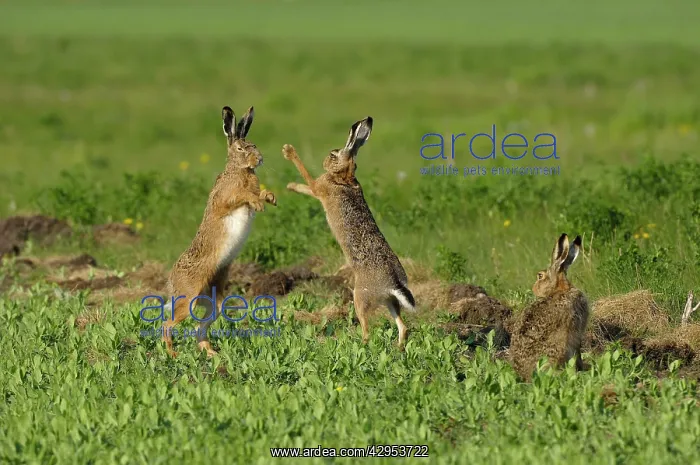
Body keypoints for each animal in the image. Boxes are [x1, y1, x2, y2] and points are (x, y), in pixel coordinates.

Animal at [160, 105, 276, 358]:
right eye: (241, 148)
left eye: (254, 145)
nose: (259, 159)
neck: (240, 170)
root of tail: (171, 281)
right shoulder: (225, 199)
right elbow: (242, 196)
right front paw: (258, 202)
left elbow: (260, 193)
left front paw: (270, 198)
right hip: (189, 298)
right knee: (167, 323)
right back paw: (173, 354)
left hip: (215, 302)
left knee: (200, 326)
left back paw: (212, 354)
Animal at [281, 117, 416, 349]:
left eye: (333, 154)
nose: (325, 161)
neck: (345, 178)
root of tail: (393, 285)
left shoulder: (319, 187)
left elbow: (306, 177)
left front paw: (289, 157)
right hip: (389, 302)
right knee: (403, 327)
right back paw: (399, 349)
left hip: (359, 297)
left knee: (367, 330)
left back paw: (359, 344)